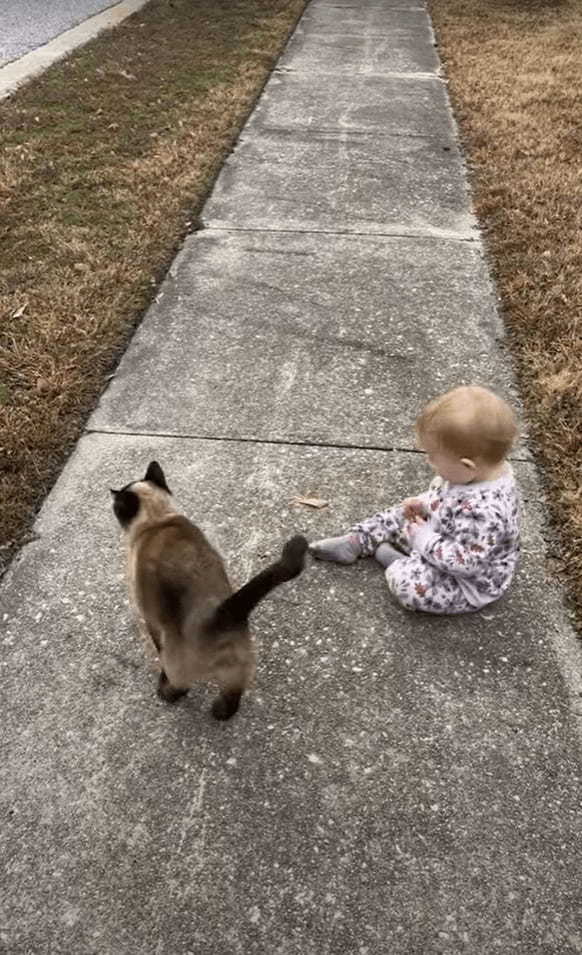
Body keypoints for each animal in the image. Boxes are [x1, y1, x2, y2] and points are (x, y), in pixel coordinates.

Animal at [111, 460, 308, 720]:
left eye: (116, 506)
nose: (112, 502)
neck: (157, 519)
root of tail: (222, 614)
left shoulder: (149, 618)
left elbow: (156, 645)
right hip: (235, 673)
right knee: (232, 699)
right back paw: (219, 713)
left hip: (178, 664)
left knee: (180, 684)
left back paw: (166, 693)